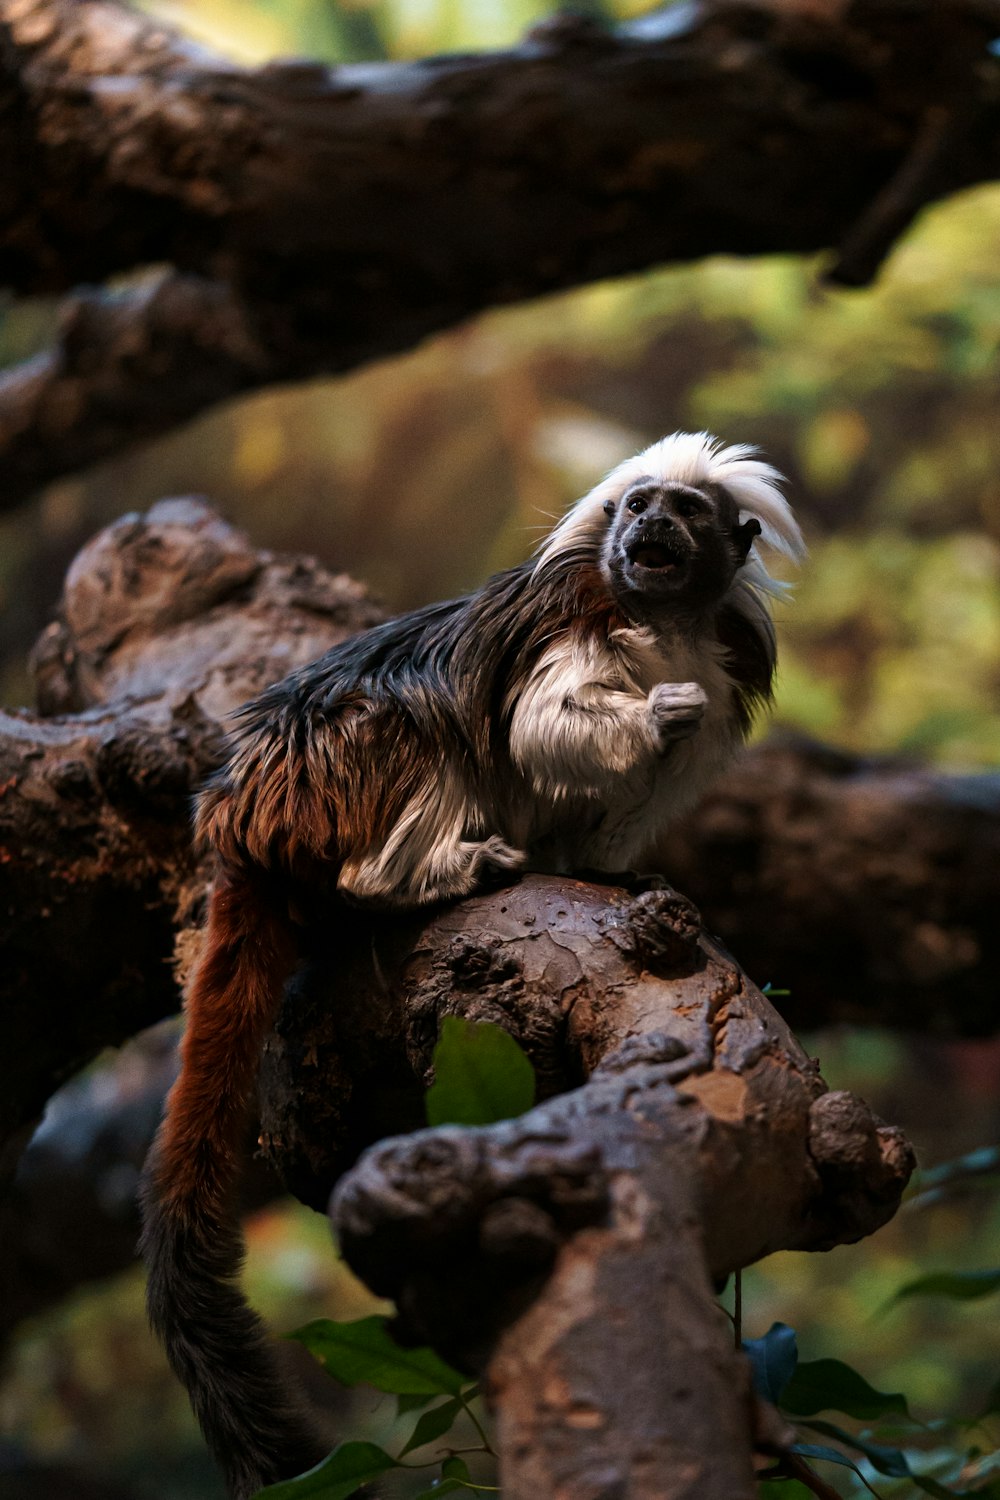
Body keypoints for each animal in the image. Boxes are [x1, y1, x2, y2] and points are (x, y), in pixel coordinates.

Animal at [138, 429, 803, 1494]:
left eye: (685, 515)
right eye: (639, 507)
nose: (651, 527)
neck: (667, 625)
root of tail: (241, 814)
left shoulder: (726, 662)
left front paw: (608, 867)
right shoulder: (580, 618)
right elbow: (546, 727)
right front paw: (652, 716)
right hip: (332, 777)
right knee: (422, 722)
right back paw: (421, 874)